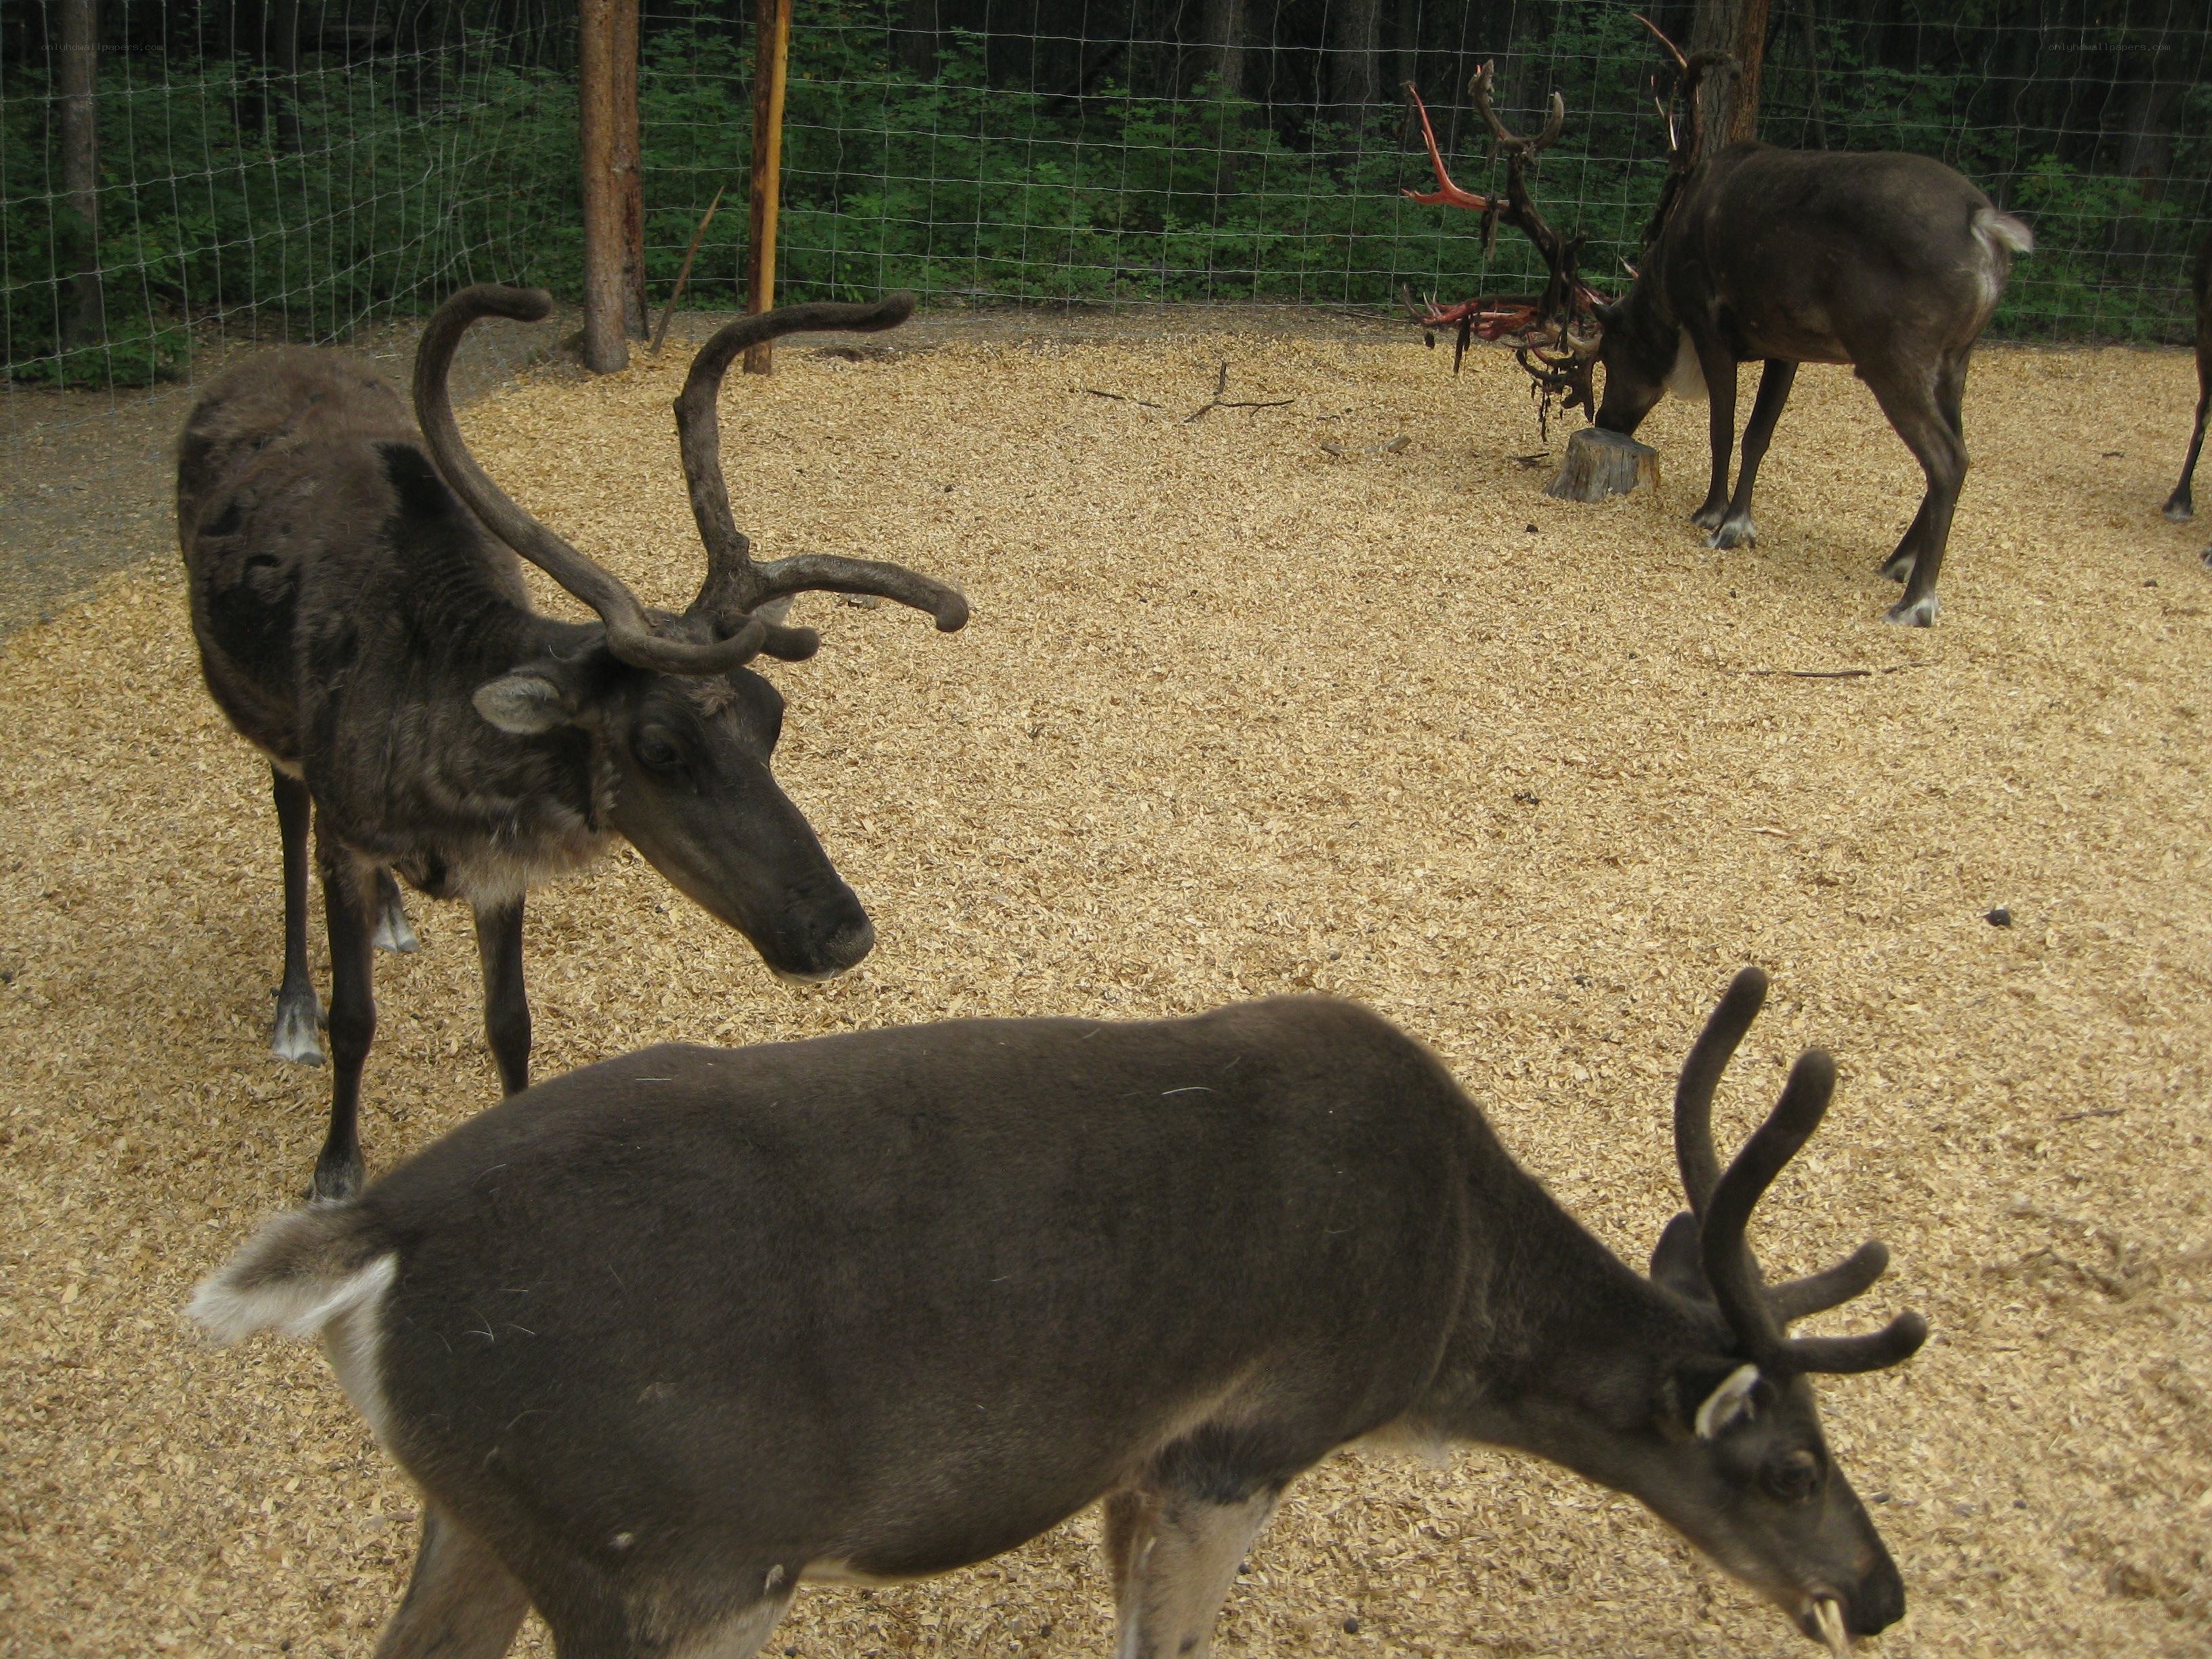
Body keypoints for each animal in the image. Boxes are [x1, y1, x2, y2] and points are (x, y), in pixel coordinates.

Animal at [176, 285, 967, 1201]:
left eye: (773, 715)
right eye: (658, 746)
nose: (844, 934)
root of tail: (260, 361)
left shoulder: (500, 865)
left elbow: (511, 1023)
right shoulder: (351, 838)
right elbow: (356, 1019)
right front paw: (337, 1166)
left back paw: (393, 917)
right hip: (261, 722)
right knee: (286, 813)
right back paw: (293, 1005)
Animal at [192, 967, 1925, 1659]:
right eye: (1786, 1463)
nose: (1883, 1590)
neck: (1443, 1336)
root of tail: (377, 1235)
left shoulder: (1132, 1461)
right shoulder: (1245, 1441)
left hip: (479, 1520)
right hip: (675, 1564)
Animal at [1405, 37, 2033, 626]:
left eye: (1613, 353)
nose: (1608, 420)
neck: (1665, 279)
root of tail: (1986, 226)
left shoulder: (1710, 323)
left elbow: (1723, 427)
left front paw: (1713, 515)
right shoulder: (1784, 346)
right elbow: (1759, 435)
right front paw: (1738, 521)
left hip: (1895, 355)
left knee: (1949, 457)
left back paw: (1915, 599)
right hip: (1956, 357)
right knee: (1960, 448)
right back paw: (1898, 561)